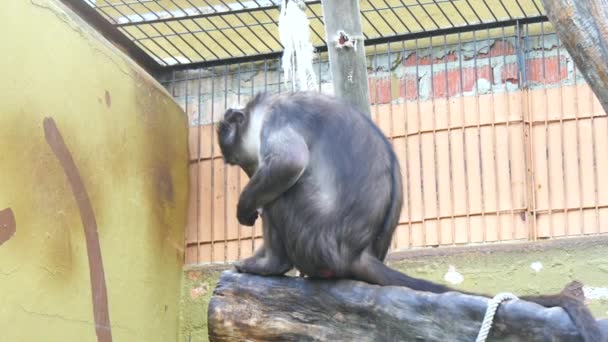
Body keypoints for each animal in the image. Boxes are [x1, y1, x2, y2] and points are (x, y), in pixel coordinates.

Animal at [216, 91, 600, 342]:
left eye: (235, 160)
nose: (248, 169)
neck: (265, 107)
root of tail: (358, 254)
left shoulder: (280, 117)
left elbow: (288, 164)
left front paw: (244, 206)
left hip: (309, 234)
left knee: (283, 193)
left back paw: (271, 264)